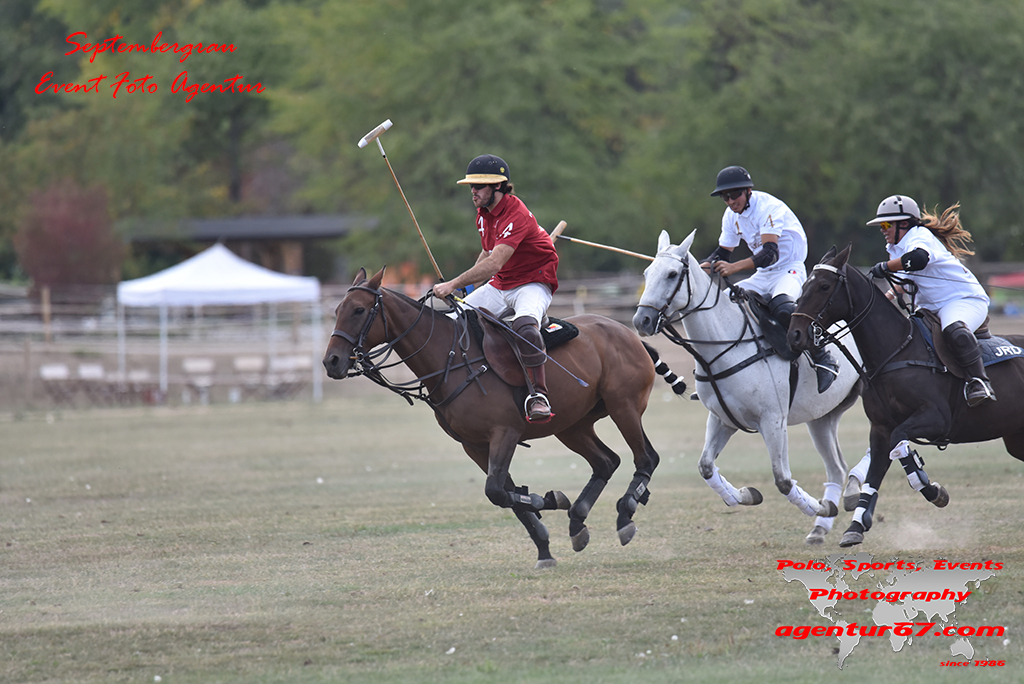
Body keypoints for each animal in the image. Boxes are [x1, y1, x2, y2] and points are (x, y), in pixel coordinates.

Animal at [323, 267, 676, 569]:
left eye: (358, 310)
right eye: (337, 309)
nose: (331, 362)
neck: (450, 359)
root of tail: (629, 334)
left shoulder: (504, 433)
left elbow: (497, 491)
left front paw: (547, 499)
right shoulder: (474, 445)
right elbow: (507, 496)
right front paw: (545, 546)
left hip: (623, 405)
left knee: (646, 457)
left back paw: (624, 516)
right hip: (572, 425)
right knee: (606, 461)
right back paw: (577, 521)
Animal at [631, 230, 865, 544]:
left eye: (671, 274)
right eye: (647, 273)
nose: (641, 321)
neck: (724, 345)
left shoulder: (773, 419)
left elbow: (783, 479)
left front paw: (817, 505)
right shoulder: (723, 418)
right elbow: (705, 467)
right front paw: (746, 495)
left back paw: (853, 490)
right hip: (822, 417)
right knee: (836, 467)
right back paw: (821, 526)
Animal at [787, 244, 1024, 547]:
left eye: (824, 286)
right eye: (805, 284)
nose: (794, 335)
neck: (896, 351)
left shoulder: (936, 419)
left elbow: (901, 446)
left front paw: (932, 489)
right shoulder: (880, 427)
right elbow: (874, 475)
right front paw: (856, 526)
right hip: (1016, 438)